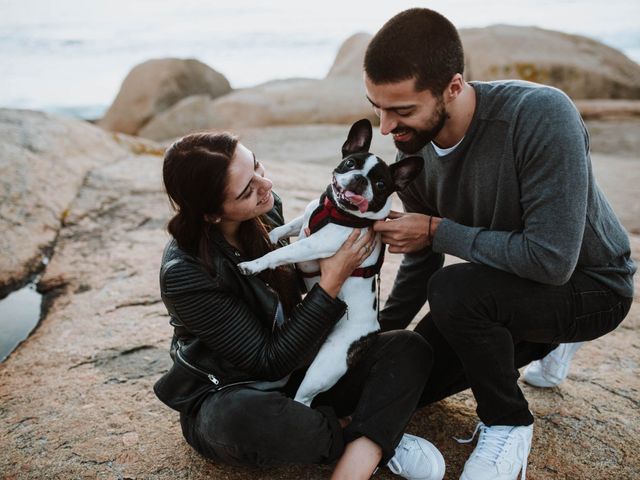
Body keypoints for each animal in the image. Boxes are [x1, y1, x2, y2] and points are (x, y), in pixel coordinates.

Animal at [238, 119, 422, 404]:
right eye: (350, 163)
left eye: (381, 184)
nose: (360, 179)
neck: (336, 211)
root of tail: (370, 332)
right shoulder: (305, 220)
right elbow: (288, 227)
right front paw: (271, 235)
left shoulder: (318, 245)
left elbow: (283, 252)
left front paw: (254, 264)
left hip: (325, 365)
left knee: (304, 399)